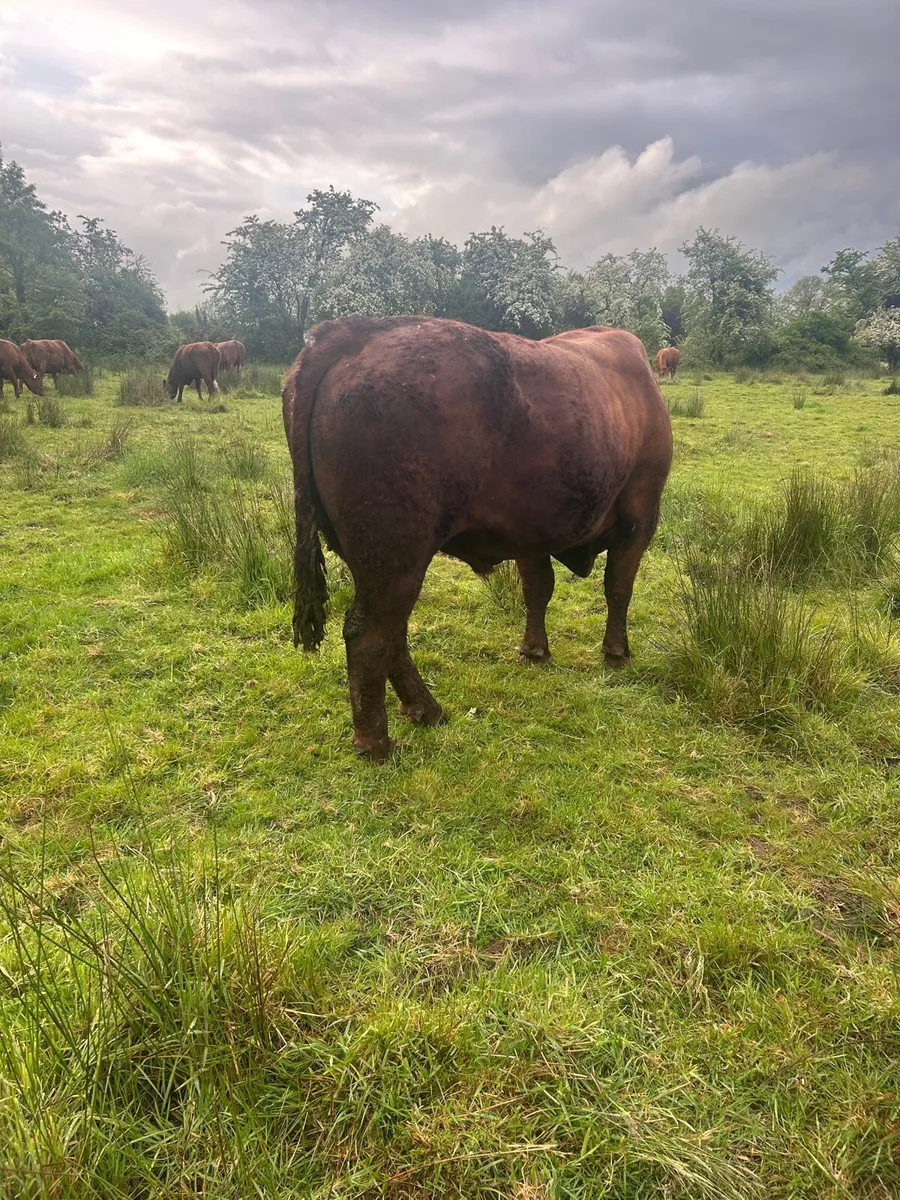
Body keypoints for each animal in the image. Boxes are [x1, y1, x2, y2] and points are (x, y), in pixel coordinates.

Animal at [283, 316, 673, 762]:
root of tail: (354, 334)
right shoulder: (639, 518)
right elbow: (618, 588)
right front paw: (617, 653)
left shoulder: (529, 534)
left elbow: (538, 589)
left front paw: (534, 651)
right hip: (397, 559)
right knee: (370, 634)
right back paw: (378, 743)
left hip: (374, 562)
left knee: (393, 635)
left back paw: (427, 710)